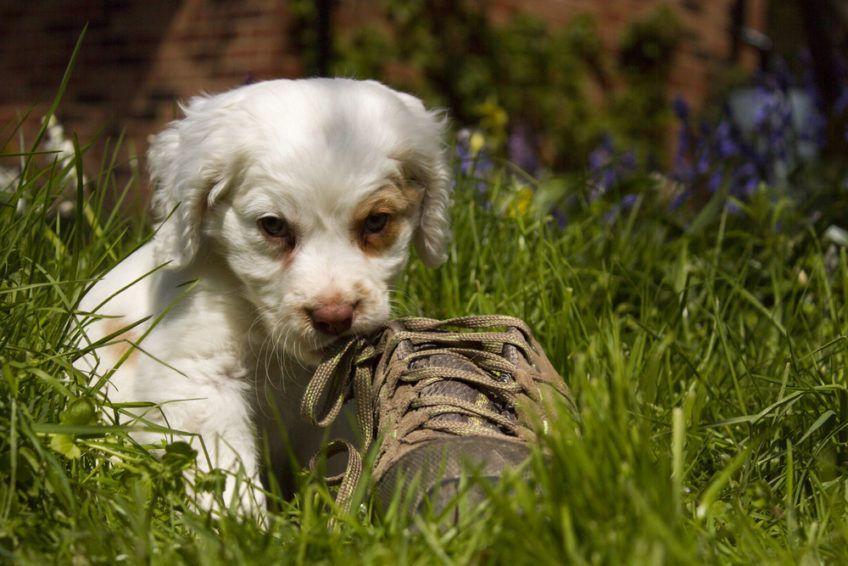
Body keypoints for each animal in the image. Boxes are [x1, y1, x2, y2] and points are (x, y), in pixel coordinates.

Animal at [74, 80, 450, 516]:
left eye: (376, 221)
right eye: (273, 226)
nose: (334, 316)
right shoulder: (197, 374)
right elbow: (221, 462)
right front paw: (239, 522)